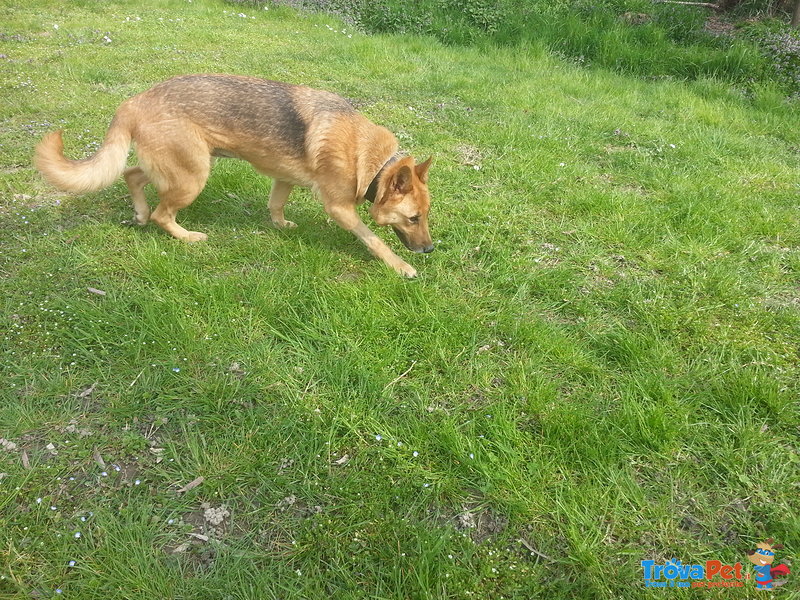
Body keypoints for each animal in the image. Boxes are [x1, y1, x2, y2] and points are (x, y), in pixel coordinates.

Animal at [32, 74, 432, 278]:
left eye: (426, 216)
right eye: (413, 218)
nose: (430, 249)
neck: (373, 161)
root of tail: (133, 102)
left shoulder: (283, 179)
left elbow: (276, 205)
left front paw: (280, 225)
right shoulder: (340, 209)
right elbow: (375, 240)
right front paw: (400, 266)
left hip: (177, 167)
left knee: (131, 175)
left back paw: (140, 214)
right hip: (193, 176)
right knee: (164, 214)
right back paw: (186, 236)